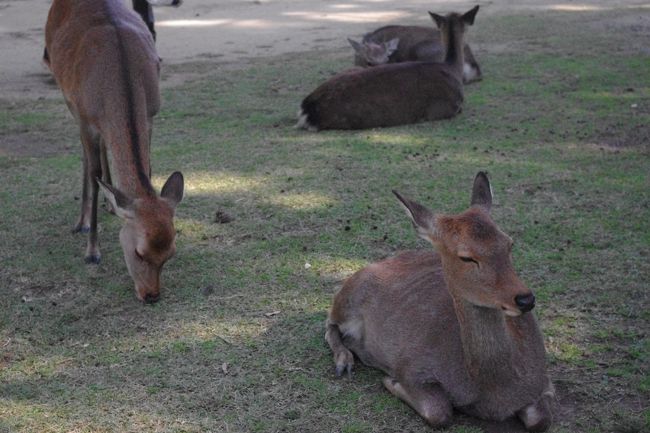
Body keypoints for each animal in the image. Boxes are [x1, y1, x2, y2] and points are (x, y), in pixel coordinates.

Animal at [45, 0, 184, 303]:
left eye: (170, 254)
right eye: (139, 253)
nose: (151, 295)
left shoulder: (150, 115)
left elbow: (147, 167)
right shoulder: (86, 118)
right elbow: (94, 172)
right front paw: (92, 251)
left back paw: (111, 203)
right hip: (68, 98)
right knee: (87, 157)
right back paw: (82, 222)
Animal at [325, 172, 554, 431]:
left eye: (509, 243)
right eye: (466, 257)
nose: (525, 299)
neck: (494, 391)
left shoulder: (543, 382)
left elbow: (541, 421)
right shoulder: (412, 367)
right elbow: (439, 412)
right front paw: (390, 382)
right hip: (347, 297)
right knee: (329, 323)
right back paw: (345, 360)